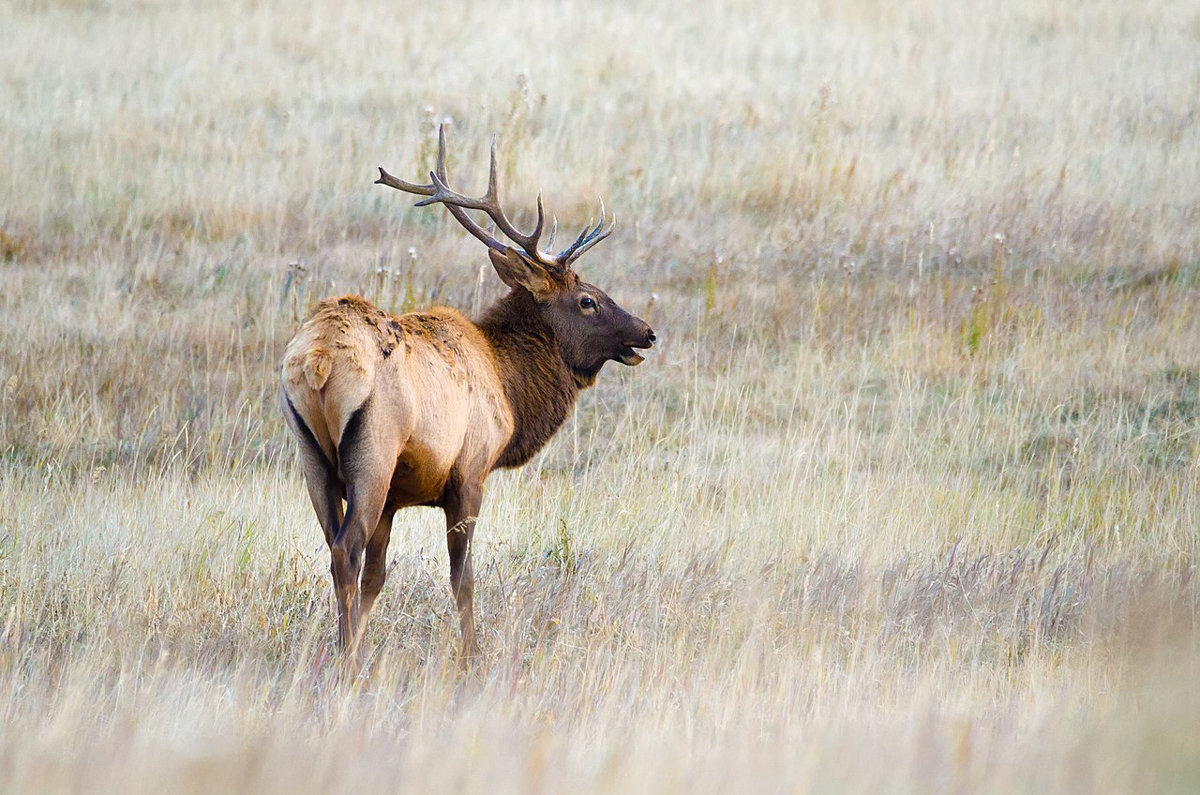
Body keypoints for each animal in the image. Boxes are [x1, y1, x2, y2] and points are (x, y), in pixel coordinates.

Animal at [280, 127, 657, 662]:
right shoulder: (469, 473)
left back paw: (345, 652)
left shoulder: (395, 498)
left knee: (336, 550)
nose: (647, 332)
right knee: (345, 549)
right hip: (374, 451)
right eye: (588, 301)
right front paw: (470, 656)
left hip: (311, 455)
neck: (509, 387)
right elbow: (463, 577)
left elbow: (377, 578)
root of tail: (319, 358)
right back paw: (349, 663)